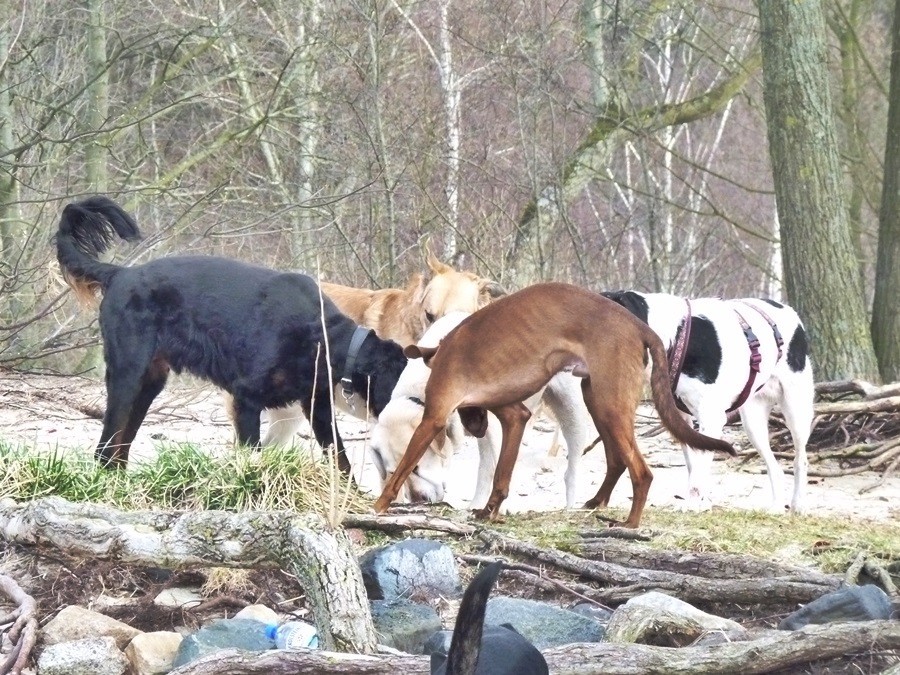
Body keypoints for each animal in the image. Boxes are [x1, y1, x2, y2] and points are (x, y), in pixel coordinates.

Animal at [54, 196, 408, 470]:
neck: (322, 336)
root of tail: (118, 274)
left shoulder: (317, 407)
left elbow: (341, 460)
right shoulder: (246, 399)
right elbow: (253, 453)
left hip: (149, 382)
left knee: (120, 445)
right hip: (127, 374)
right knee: (106, 445)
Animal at [369, 312, 592, 507]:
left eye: (416, 468)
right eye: (391, 471)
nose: (417, 501)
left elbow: (493, 468)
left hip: (571, 411)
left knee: (572, 470)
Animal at [602, 290, 814, 512]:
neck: (678, 339)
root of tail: (789, 310)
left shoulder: (710, 418)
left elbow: (699, 466)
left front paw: (692, 504)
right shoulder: (681, 420)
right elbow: (694, 464)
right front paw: (701, 502)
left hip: (796, 411)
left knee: (800, 459)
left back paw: (798, 504)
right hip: (753, 422)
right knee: (774, 466)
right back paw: (776, 507)